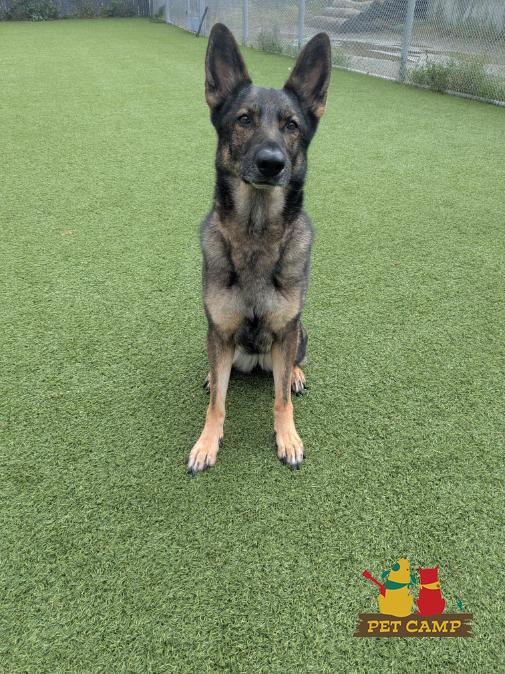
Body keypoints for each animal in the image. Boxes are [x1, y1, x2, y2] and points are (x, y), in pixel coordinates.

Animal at [187, 23, 331, 474]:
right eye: (244, 119)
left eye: (292, 125)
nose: (271, 163)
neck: (255, 234)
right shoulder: (219, 330)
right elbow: (217, 405)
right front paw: (206, 443)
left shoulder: (286, 331)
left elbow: (281, 400)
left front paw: (288, 438)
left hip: (299, 333)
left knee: (290, 368)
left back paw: (297, 375)